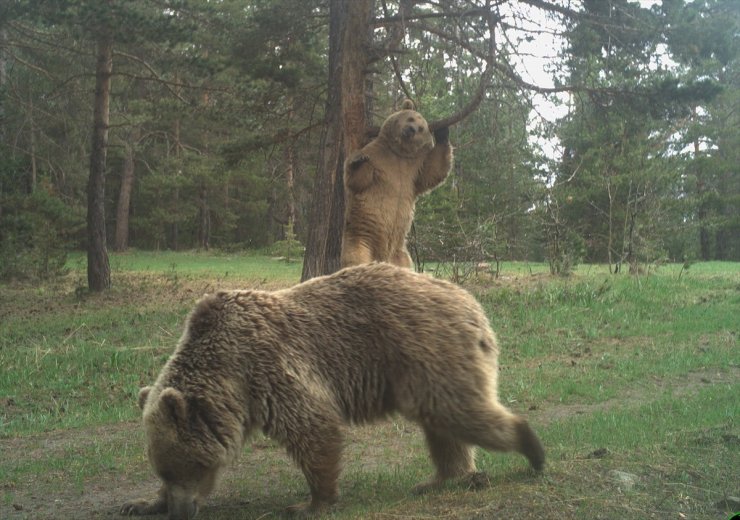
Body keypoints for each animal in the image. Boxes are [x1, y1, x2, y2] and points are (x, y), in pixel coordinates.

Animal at [121, 264, 544, 520]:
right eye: (162, 468)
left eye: (185, 465)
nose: (180, 510)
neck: (228, 378)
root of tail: (471, 302)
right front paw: (139, 502)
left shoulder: (269, 369)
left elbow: (313, 427)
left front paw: (310, 502)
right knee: (443, 425)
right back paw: (441, 478)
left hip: (427, 350)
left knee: (459, 411)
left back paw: (531, 449)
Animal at [340, 99, 450, 268]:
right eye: (410, 118)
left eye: (421, 128)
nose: (411, 129)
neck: (398, 153)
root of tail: (383, 258)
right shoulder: (376, 158)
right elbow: (358, 180)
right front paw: (357, 160)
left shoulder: (413, 171)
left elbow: (432, 172)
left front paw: (443, 131)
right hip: (361, 238)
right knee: (356, 258)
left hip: (400, 253)